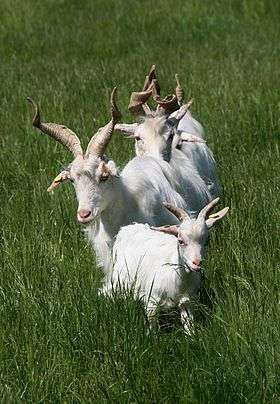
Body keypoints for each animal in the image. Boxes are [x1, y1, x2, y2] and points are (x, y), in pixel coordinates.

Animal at [101, 197, 229, 332]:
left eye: (206, 240)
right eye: (180, 241)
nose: (197, 263)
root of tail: (128, 228)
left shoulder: (187, 302)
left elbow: (189, 327)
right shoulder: (151, 302)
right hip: (118, 280)